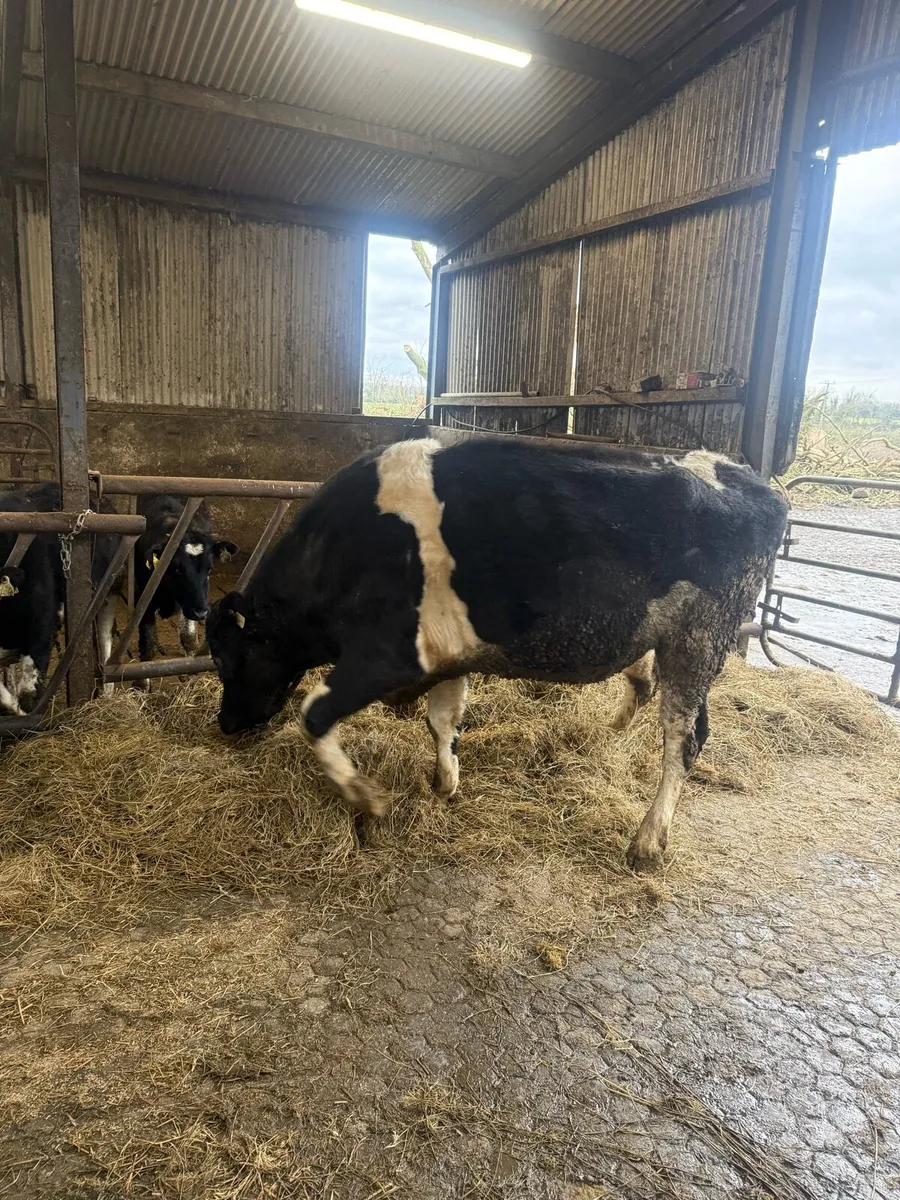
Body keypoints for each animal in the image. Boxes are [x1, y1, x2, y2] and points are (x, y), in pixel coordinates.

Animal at [134, 496, 237, 663]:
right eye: (177, 569)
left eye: (210, 569)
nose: (201, 613)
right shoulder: (142, 590)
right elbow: (148, 641)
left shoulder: (192, 603)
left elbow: (188, 635)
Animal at [206, 436, 787, 871]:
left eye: (228, 659)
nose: (226, 723)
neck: (338, 552)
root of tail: (752, 480)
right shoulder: (446, 655)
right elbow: (442, 721)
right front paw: (445, 784)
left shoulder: (387, 654)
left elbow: (314, 714)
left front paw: (365, 797)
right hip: (672, 639)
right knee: (663, 705)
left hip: (699, 636)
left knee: (683, 737)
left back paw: (646, 842)